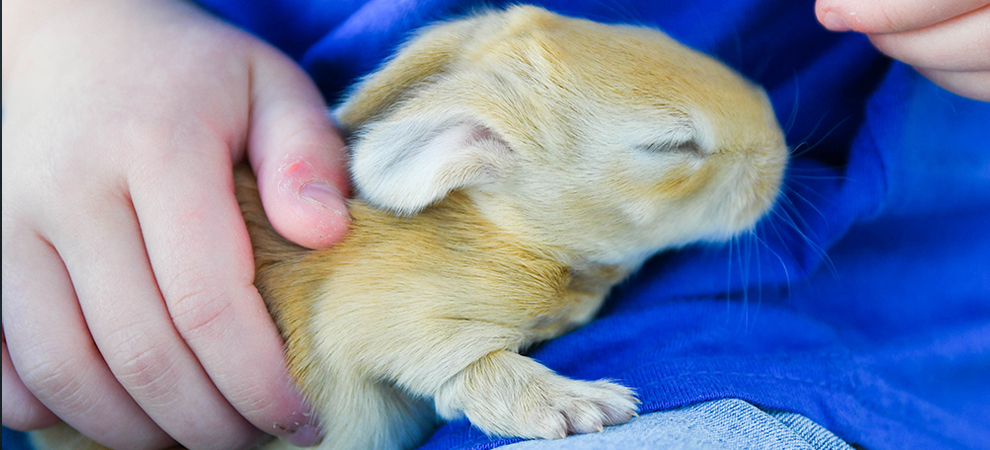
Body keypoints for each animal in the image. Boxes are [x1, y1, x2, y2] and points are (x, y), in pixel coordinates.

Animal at [29, 4, 792, 450]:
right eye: (673, 147)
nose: (779, 151)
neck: (509, 232)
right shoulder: (388, 320)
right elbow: (465, 367)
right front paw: (584, 406)